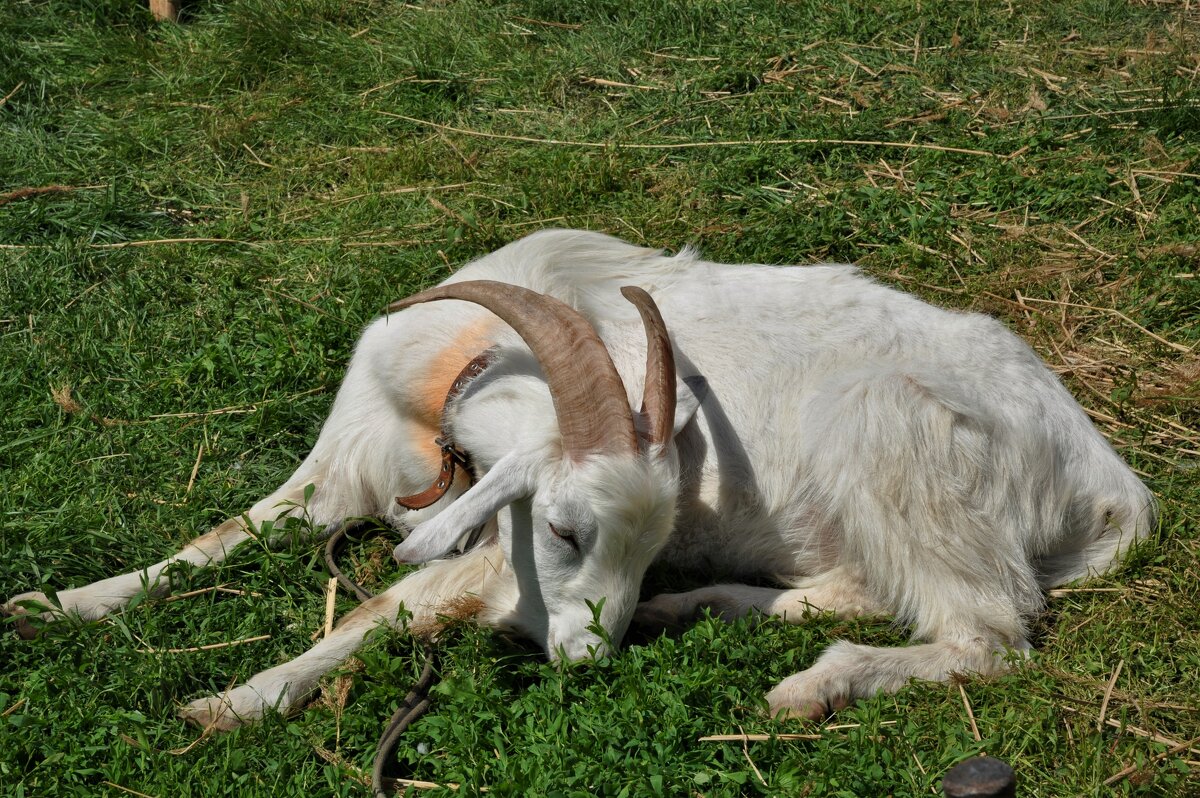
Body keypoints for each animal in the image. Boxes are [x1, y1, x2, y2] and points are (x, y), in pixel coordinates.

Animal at [4, 226, 1156, 724]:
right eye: (564, 530)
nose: (591, 661)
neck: (460, 362)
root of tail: (1110, 486)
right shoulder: (339, 474)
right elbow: (221, 534)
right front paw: (57, 604)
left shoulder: (487, 554)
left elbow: (384, 607)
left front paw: (233, 701)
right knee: (871, 588)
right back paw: (704, 606)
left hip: (895, 440)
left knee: (983, 635)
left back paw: (808, 685)